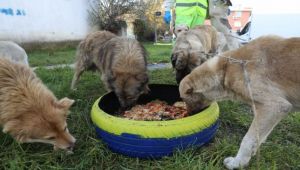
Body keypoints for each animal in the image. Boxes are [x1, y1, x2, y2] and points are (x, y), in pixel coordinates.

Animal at [179, 35, 300, 169]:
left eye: (185, 99)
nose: (188, 115)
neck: (228, 67)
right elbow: (258, 138)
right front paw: (247, 158)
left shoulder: (274, 106)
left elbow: (248, 140)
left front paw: (237, 163)